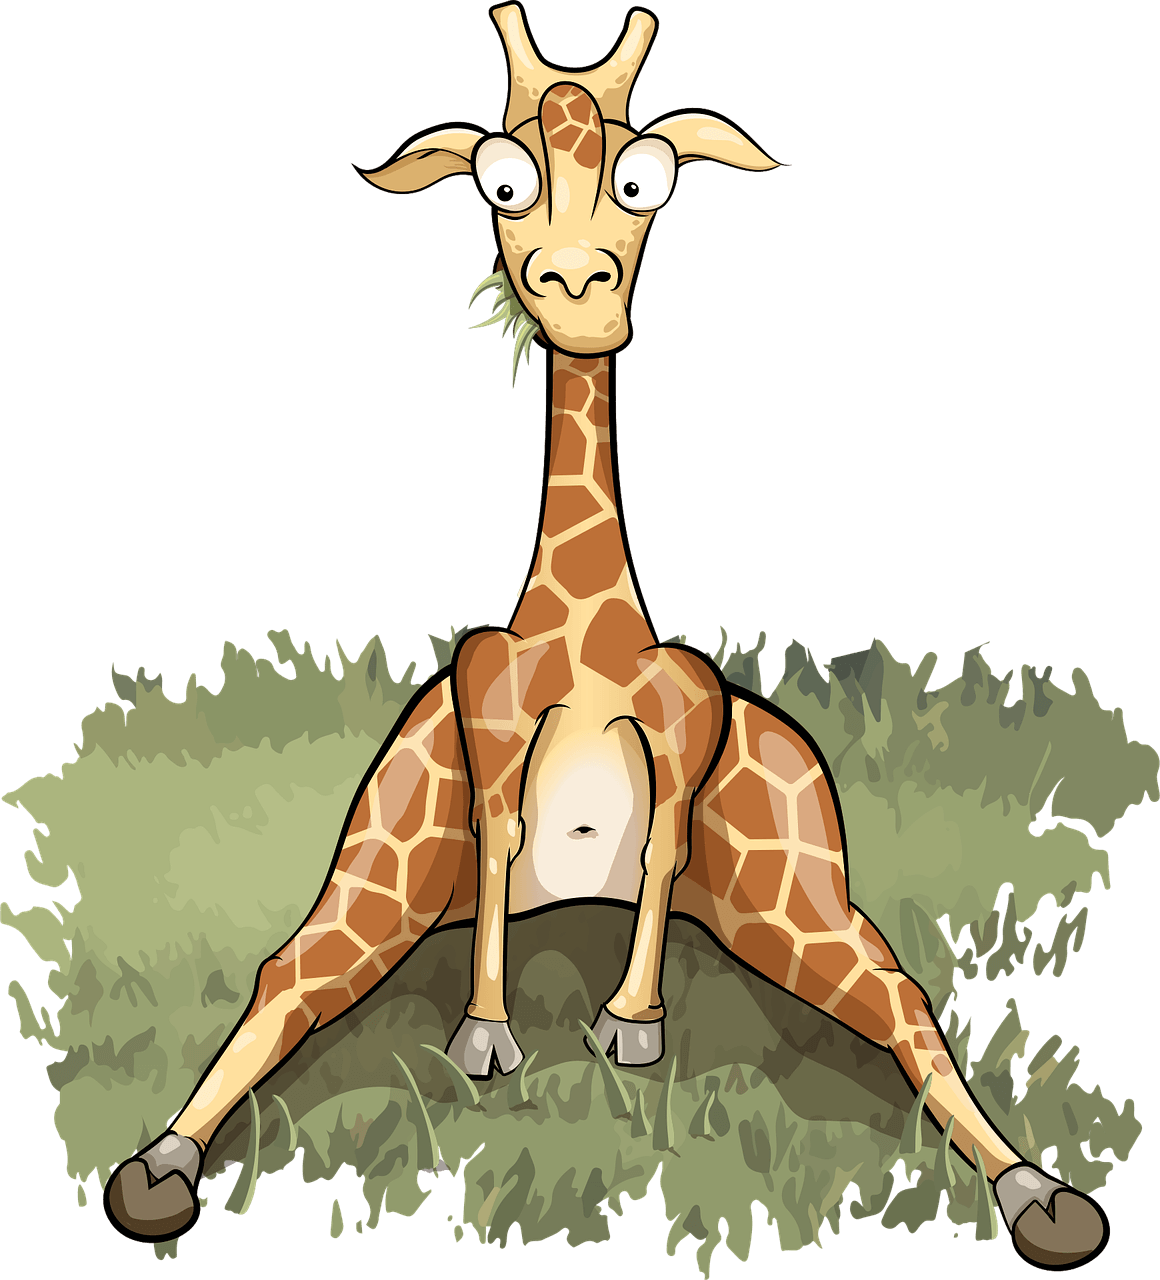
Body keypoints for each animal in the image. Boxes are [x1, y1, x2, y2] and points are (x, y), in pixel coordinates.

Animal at [104, 6, 1110, 1267]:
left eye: (643, 180)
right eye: (500, 179)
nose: (574, 287)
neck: (583, 629)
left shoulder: (688, 720)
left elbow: (659, 843)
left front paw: (628, 1020)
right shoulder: (480, 713)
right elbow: (498, 838)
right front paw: (487, 1031)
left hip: (791, 885)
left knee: (898, 992)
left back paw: (1040, 1189)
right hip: (391, 854)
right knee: (291, 970)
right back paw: (154, 1160)